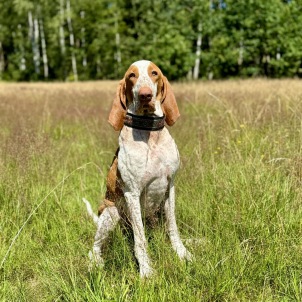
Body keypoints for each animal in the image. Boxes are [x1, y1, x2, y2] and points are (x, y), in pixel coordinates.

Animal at [83, 59, 191, 278]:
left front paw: (182, 253)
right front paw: (147, 270)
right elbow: (140, 240)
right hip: (111, 213)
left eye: (154, 73)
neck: (150, 134)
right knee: (95, 248)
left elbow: (173, 228)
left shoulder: (170, 187)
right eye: (131, 76)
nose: (145, 95)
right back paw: (96, 263)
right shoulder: (132, 193)